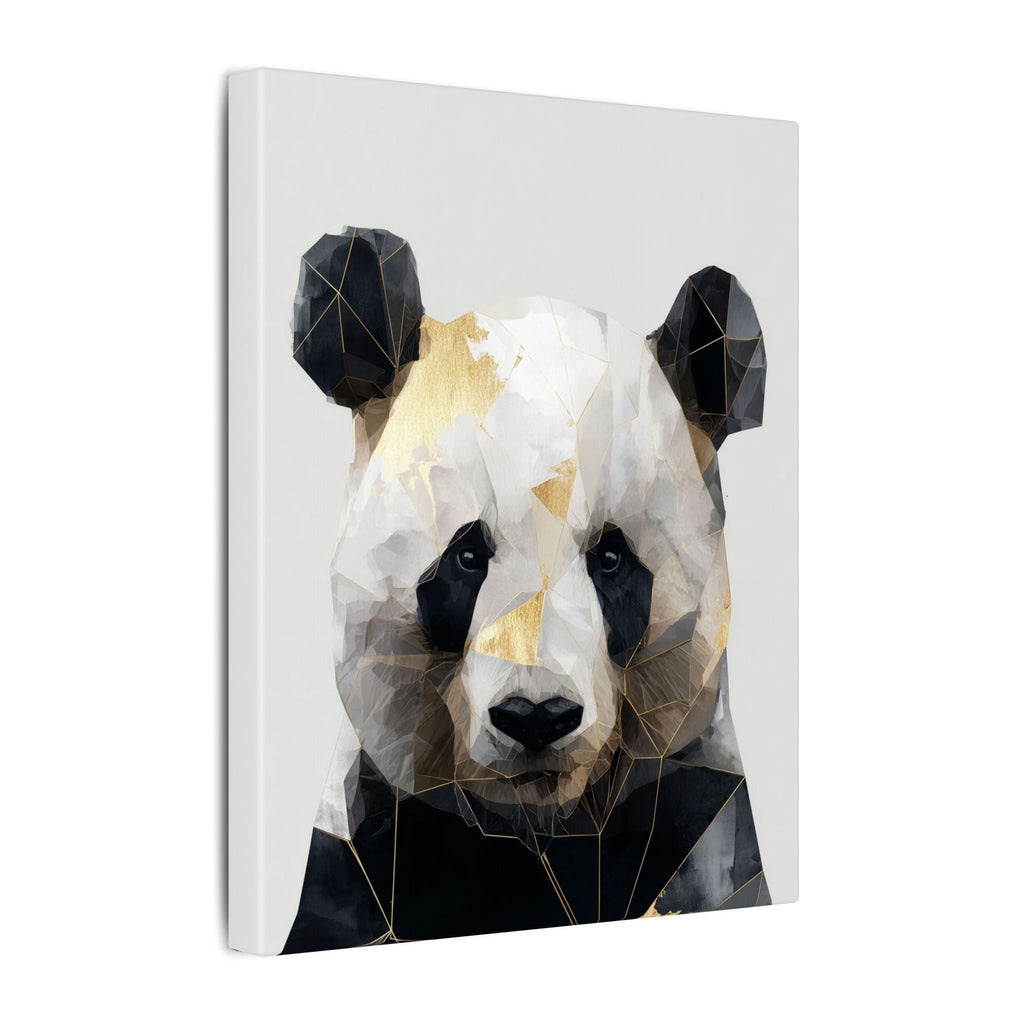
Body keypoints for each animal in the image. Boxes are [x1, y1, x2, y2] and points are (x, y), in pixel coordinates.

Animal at [283, 227, 770, 954]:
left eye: (611, 558)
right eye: (466, 556)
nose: (536, 717)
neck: (537, 835)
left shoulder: (695, 822)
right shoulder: (367, 852)